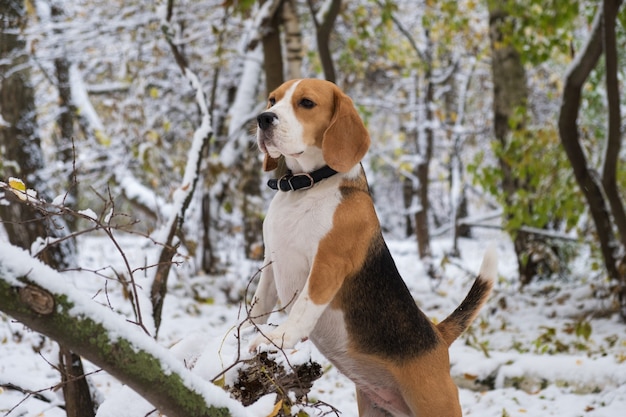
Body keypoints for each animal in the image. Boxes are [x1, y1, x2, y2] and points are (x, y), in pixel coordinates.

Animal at [246, 79, 494, 416]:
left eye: (306, 103)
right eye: (273, 100)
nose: (263, 118)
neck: (306, 187)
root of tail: (438, 336)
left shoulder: (327, 265)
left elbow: (302, 308)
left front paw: (279, 338)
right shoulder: (271, 264)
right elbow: (258, 308)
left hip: (437, 403)